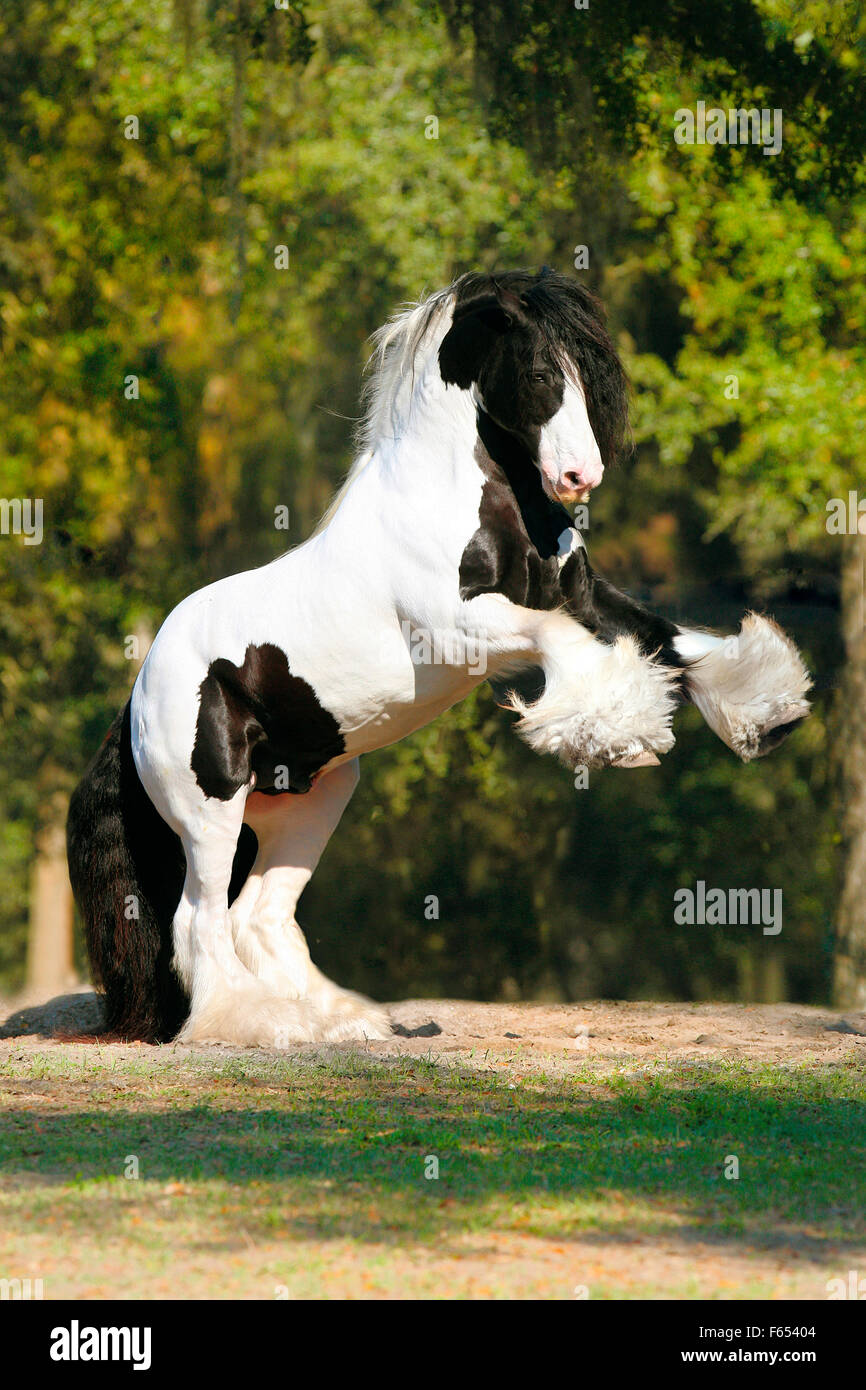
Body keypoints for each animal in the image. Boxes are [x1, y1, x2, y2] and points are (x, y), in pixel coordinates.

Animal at [66, 268, 812, 1047]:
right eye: (542, 372)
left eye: (593, 376)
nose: (581, 477)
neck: (468, 506)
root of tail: (139, 694)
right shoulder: (458, 628)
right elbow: (564, 642)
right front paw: (620, 738)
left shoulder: (585, 594)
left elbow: (674, 642)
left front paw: (771, 711)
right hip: (211, 807)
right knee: (199, 921)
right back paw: (256, 1027)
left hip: (309, 800)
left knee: (260, 917)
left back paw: (340, 1025)